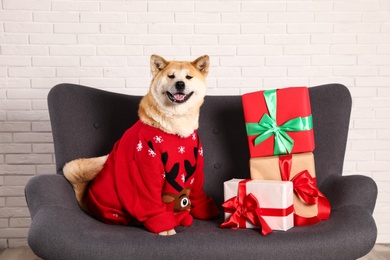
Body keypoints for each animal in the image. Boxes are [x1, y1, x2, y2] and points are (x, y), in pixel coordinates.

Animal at [65, 54, 221, 236]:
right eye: (171, 76)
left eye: (188, 77)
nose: (180, 84)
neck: (175, 127)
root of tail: (86, 201)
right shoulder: (145, 166)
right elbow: (151, 201)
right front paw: (165, 227)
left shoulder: (197, 162)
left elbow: (195, 189)